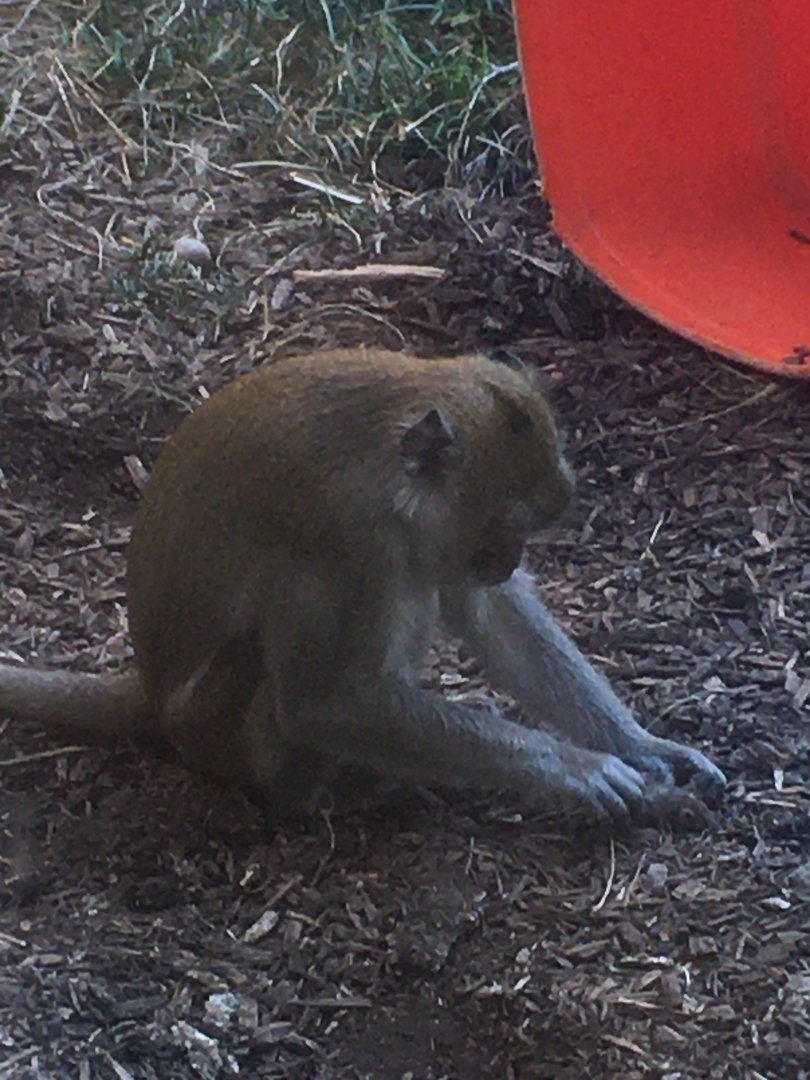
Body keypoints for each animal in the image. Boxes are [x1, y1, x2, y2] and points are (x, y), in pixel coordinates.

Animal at [0, 349, 726, 823]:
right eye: (505, 527)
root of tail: (150, 691)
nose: (507, 559)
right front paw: (575, 768)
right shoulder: (345, 537)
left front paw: (638, 745)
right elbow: (327, 703)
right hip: (221, 725)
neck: (386, 456)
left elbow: (486, 613)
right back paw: (322, 795)